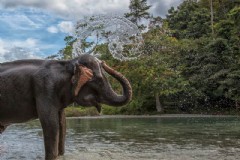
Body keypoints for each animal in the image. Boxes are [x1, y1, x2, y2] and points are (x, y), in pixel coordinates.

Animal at [0, 54, 131, 160]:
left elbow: (63, 123)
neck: (67, 64)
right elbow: (51, 124)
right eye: (98, 80)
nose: (103, 62)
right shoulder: (45, 88)